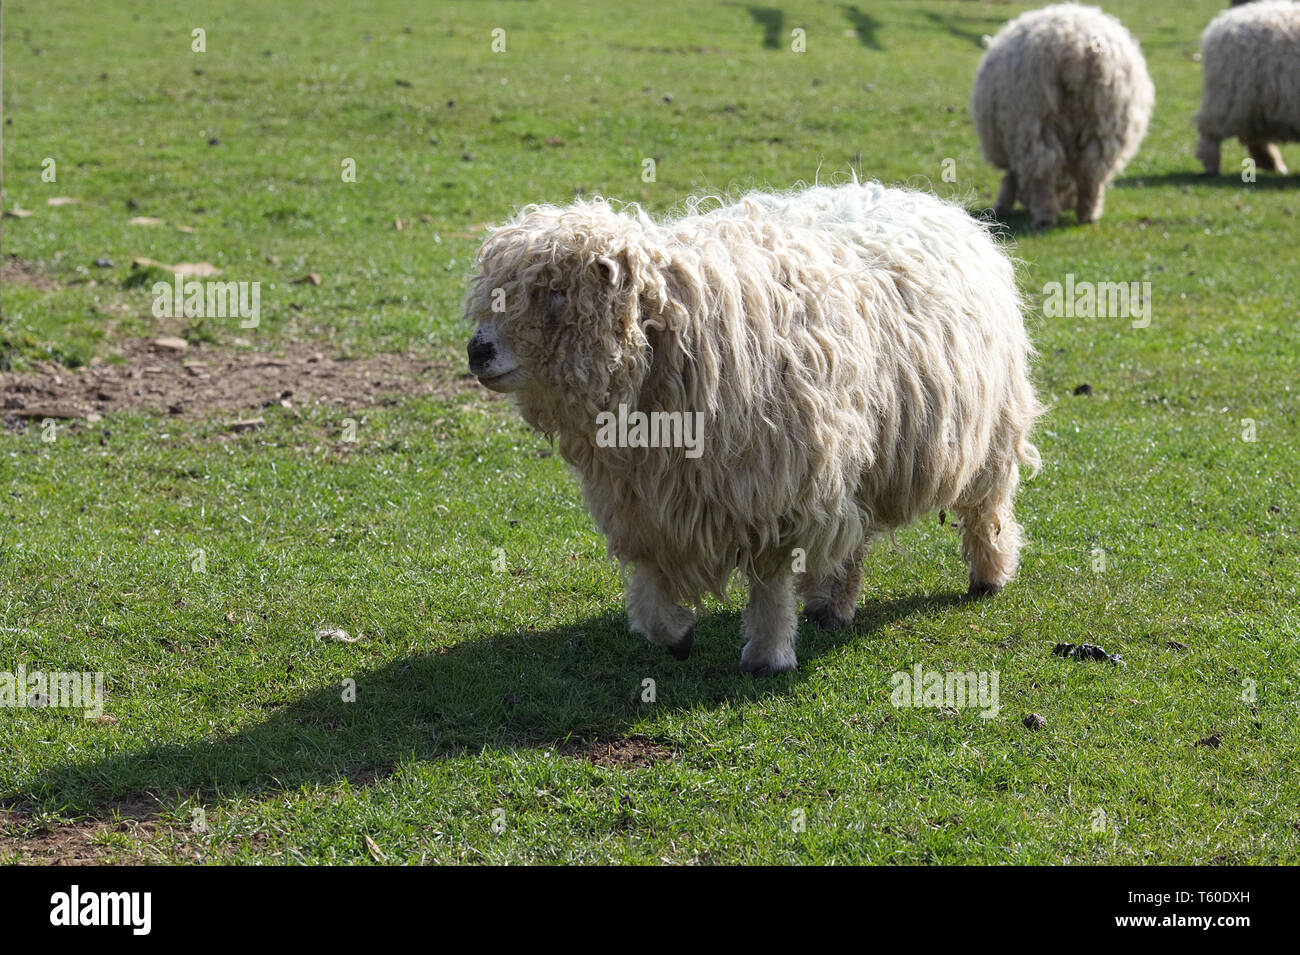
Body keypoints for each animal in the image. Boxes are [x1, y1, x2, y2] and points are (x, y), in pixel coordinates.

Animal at [462, 183, 1040, 675]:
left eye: (556, 294)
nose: (477, 351)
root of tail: (934, 203)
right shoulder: (643, 500)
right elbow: (651, 583)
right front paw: (675, 634)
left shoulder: (776, 484)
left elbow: (770, 579)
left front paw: (768, 653)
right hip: (862, 450)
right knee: (854, 536)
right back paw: (831, 603)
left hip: (989, 429)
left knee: (987, 506)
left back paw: (989, 574)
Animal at [972, 2, 1154, 228]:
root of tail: (1079, 51)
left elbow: (1010, 177)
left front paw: (1002, 206)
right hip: (1105, 124)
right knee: (1091, 172)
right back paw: (1088, 213)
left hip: (1034, 119)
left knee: (1044, 171)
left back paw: (1044, 216)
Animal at [1196, 0, 1300, 175]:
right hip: (1230, 98)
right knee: (1210, 132)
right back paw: (1211, 165)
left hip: (1255, 102)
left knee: (1253, 136)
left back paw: (1271, 163)